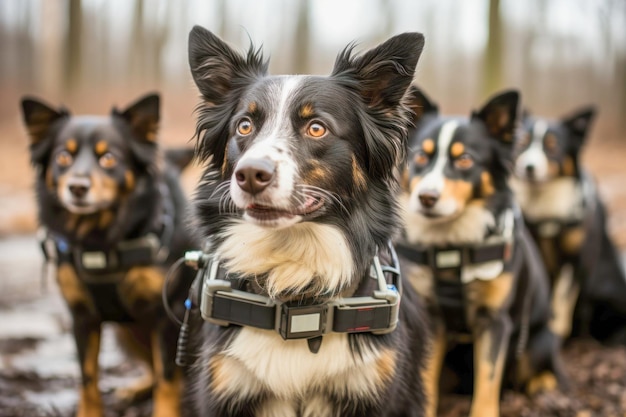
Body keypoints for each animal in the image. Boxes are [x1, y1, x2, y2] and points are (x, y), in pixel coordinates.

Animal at [20, 93, 195, 416]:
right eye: (63, 157)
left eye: (109, 158)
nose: (77, 187)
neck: (99, 242)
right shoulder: (81, 317)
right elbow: (88, 378)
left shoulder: (170, 316)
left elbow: (167, 379)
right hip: (126, 333)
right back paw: (136, 389)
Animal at [398, 87, 564, 416]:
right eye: (420, 157)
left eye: (464, 160)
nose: (426, 198)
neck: (453, 248)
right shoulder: (432, 317)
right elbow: (427, 378)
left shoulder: (495, 321)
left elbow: (487, 381)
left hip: (538, 340)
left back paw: (545, 387)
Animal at [510, 107, 624, 344]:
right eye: (523, 143)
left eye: (553, 147)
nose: (528, 167)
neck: (546, 210)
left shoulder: (577, 259)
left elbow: (564, 302)